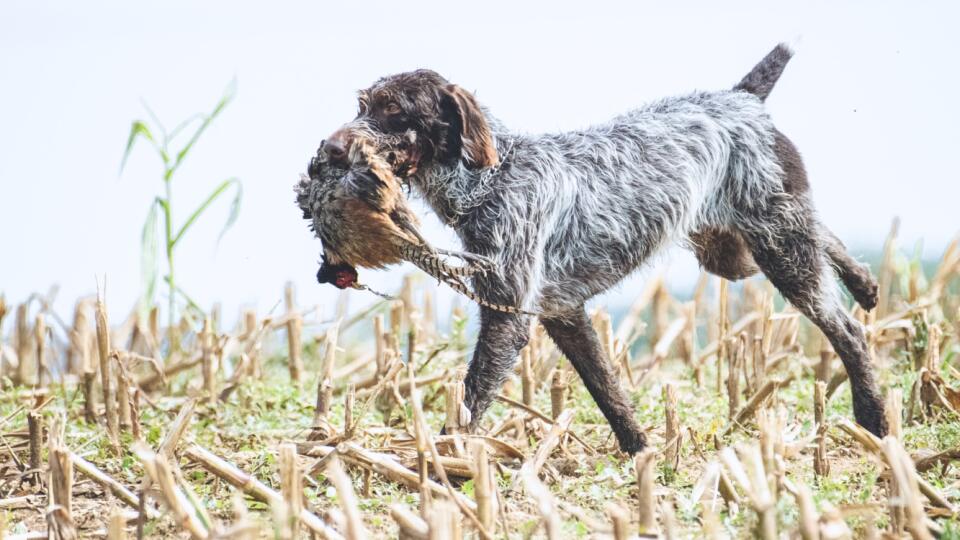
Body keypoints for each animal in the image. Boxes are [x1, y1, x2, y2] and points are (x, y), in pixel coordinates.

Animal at [318, 44, 888, 454]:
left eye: (393, 111)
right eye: (362, 106)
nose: (329, 149)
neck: (490, 179)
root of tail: (741, 98)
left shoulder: (509, 316)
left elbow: (472, 397)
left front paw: (444, 464)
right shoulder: (563, 314)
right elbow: (608, 392)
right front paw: (642, 454)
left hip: (778, 249)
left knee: (847, 330)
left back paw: (874, 418)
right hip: (737, 252)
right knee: (822, 235)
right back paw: (864, 282)